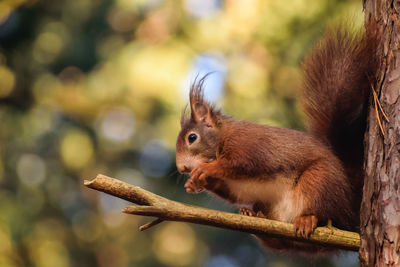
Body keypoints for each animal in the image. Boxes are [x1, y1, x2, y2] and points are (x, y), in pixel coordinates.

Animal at [175, 23, 378, 253]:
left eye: (192, 137)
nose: (182, 168)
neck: (223, 138)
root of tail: (350, 213)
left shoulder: (248, 147)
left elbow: (240, 164)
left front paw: (205, 170)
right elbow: (235, 193)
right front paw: (194, 184)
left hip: (319, 182)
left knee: (325, 214)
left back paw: (307, 219)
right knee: (279, 242)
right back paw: (255, 217)